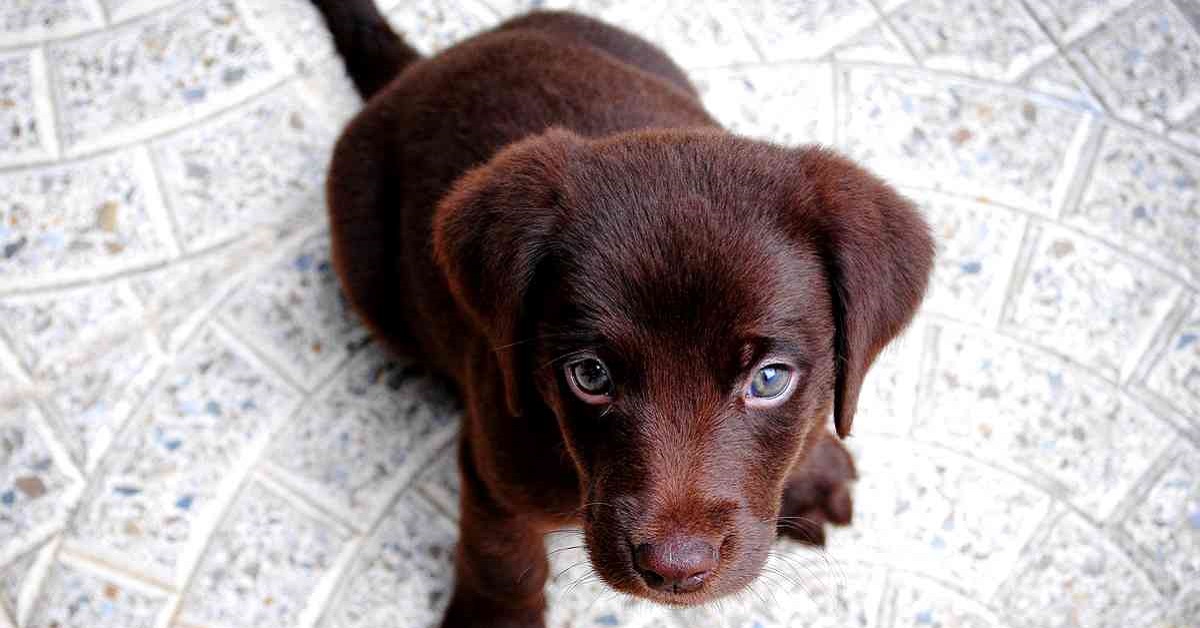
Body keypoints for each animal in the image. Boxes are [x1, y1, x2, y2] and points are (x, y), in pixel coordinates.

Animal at [309, 2, 936, 624]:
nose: (676, 569)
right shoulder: (495, 466)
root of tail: (421, 67)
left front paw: (813, 468)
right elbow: (504, 558)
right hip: (366, 264)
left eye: (769, 379)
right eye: (590, 375)